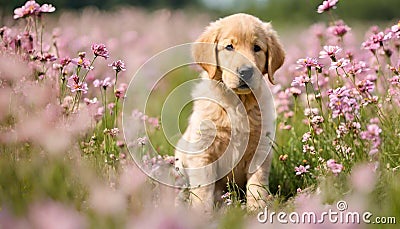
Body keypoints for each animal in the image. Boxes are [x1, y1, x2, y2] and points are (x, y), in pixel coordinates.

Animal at [175, 13, 284, 212]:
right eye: (229, 47)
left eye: (257, 48)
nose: (246, 72)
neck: (238, 103)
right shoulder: (203, 151)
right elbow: (203, 188)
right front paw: (201, 212)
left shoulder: (260, 149)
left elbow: (257, 183)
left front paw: (257, 208)